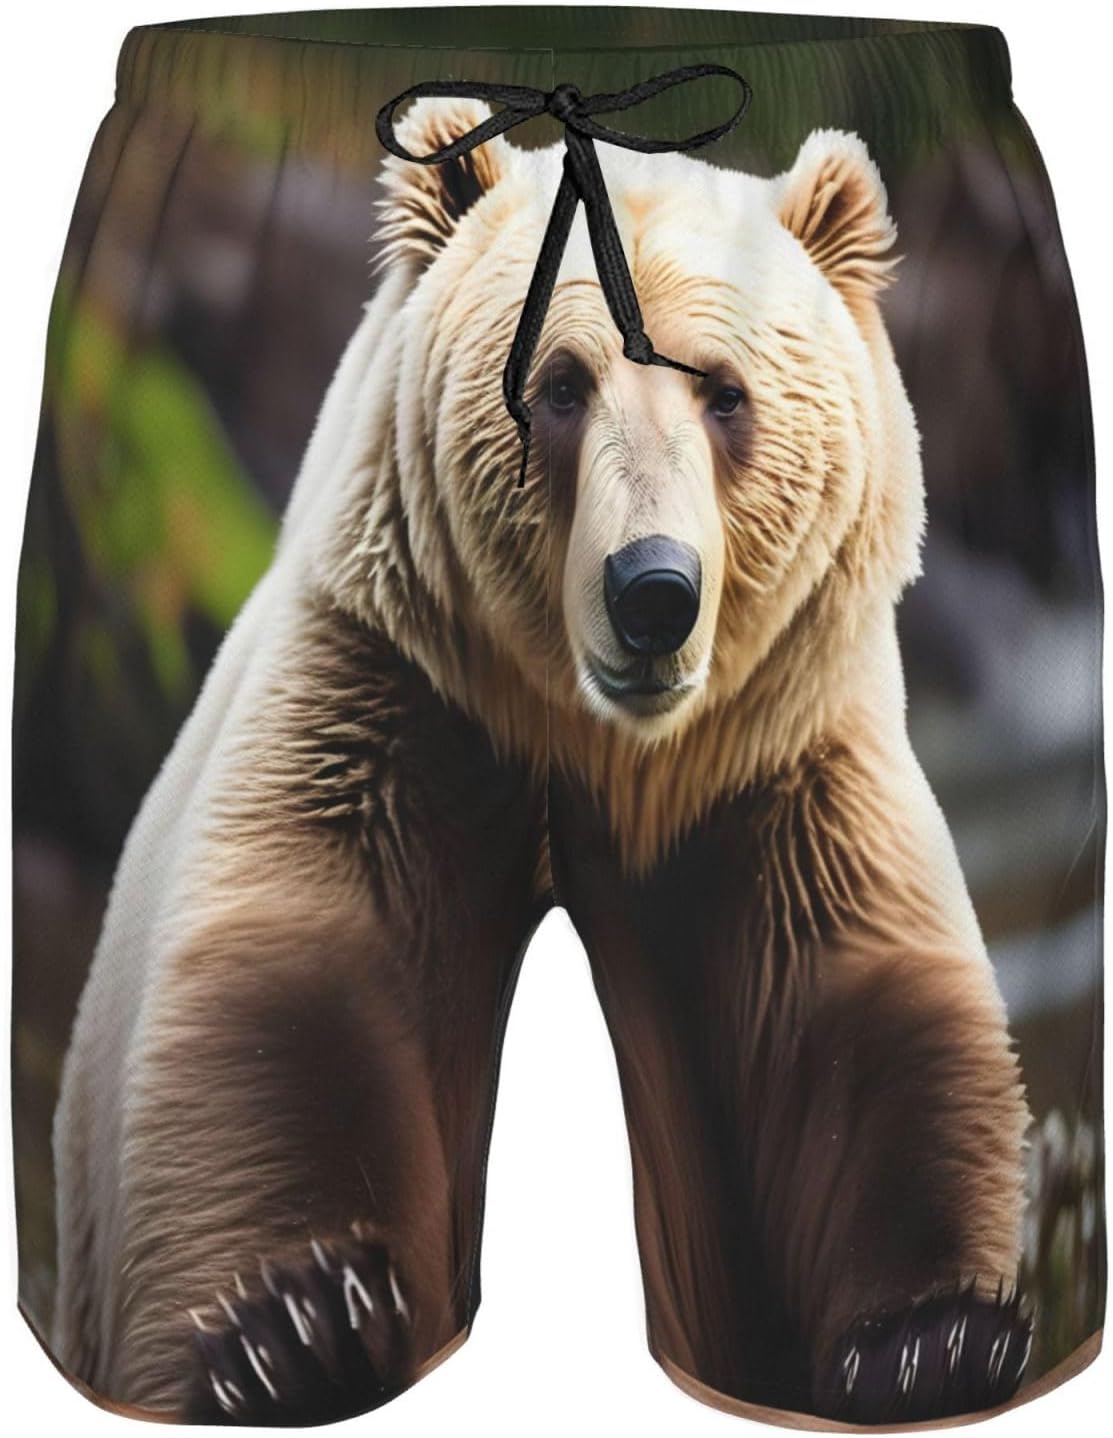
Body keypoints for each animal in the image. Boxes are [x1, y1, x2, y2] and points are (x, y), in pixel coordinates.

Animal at [50, 97, 1034, 1426]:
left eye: (725, 393)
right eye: (559, 382)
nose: (653, 591)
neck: (600, 746)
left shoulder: (779, 772)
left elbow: (862, 1017)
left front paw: (937, 1340)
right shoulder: (394, 704)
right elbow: (284, 983)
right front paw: (297, 1327)